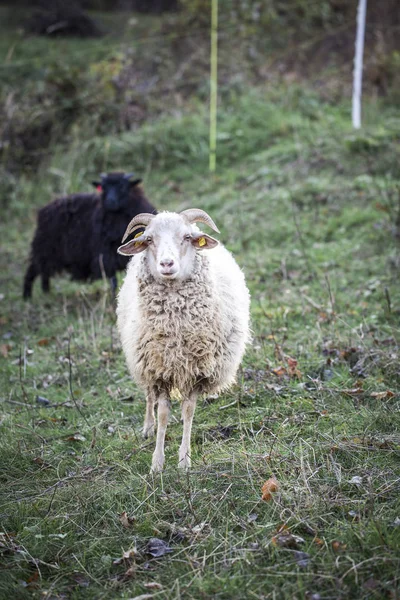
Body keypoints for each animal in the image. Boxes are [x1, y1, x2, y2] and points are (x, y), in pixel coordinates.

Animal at [21, 171, 156, 298]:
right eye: (104, 187)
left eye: (122, 186)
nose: (110, 202)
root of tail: (45, 209)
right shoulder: (105, 256)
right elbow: (113, 281)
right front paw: (113, 298)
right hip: (44, 248)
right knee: (33, 270)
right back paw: (27, 296)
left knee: (44, 273)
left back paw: (46, 293)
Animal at [115, 209, 250, 472]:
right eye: (148, 239)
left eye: (187, 237)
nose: (167, 264)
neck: (176, 332)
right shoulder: (158, 370)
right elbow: (163, 413)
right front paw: (157, 463)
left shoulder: (197, 371)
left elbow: (188, 411)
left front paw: (184, 460)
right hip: (142, 360)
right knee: (149, 397)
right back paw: (147, 427)